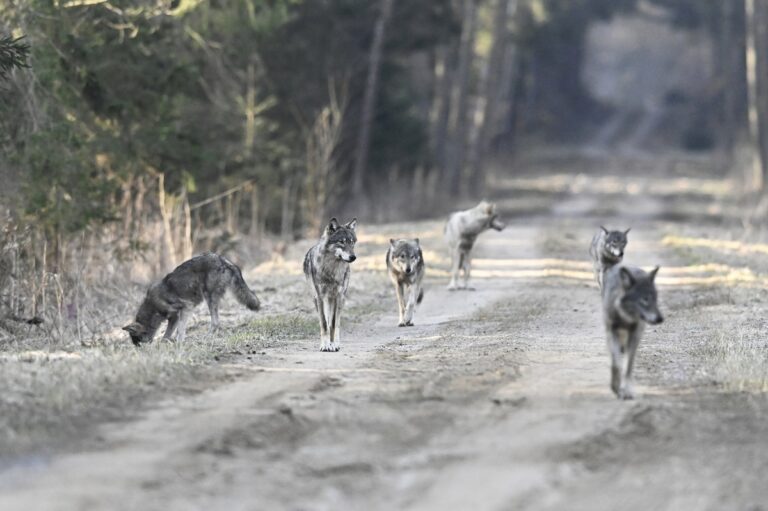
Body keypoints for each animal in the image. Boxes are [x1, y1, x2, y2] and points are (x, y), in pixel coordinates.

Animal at [123, 253, 260, 346]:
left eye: (138, 343)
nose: (140, 352)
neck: (152, 308)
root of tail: (222, 259)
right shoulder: (174, 317)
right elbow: (168, 334)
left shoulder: (185, 308)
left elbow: (179, 331)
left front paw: (178, 344)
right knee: (216, 323)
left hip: (209, 298)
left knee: (215, 323)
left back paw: (207, 337)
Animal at [304, 216, 356, 352]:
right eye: (342, 242)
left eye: (352, 242)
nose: (353, 257)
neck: (331, 269)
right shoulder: (320, 297)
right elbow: (324, 323)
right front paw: (325, 345)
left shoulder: (337, 296)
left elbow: (333, 323)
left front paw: (333, 345)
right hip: (319, 299)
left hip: (340, 299)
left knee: (336, 322)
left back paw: (336, 343)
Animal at [604, 266, 664, 402]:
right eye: (644, 299)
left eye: (655, 299)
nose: (660, 319)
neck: (625, 317)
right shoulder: (611, 331)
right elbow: (616, 364)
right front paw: (616, 387)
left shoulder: (634, 335)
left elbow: (628, 366)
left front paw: (626, 392)